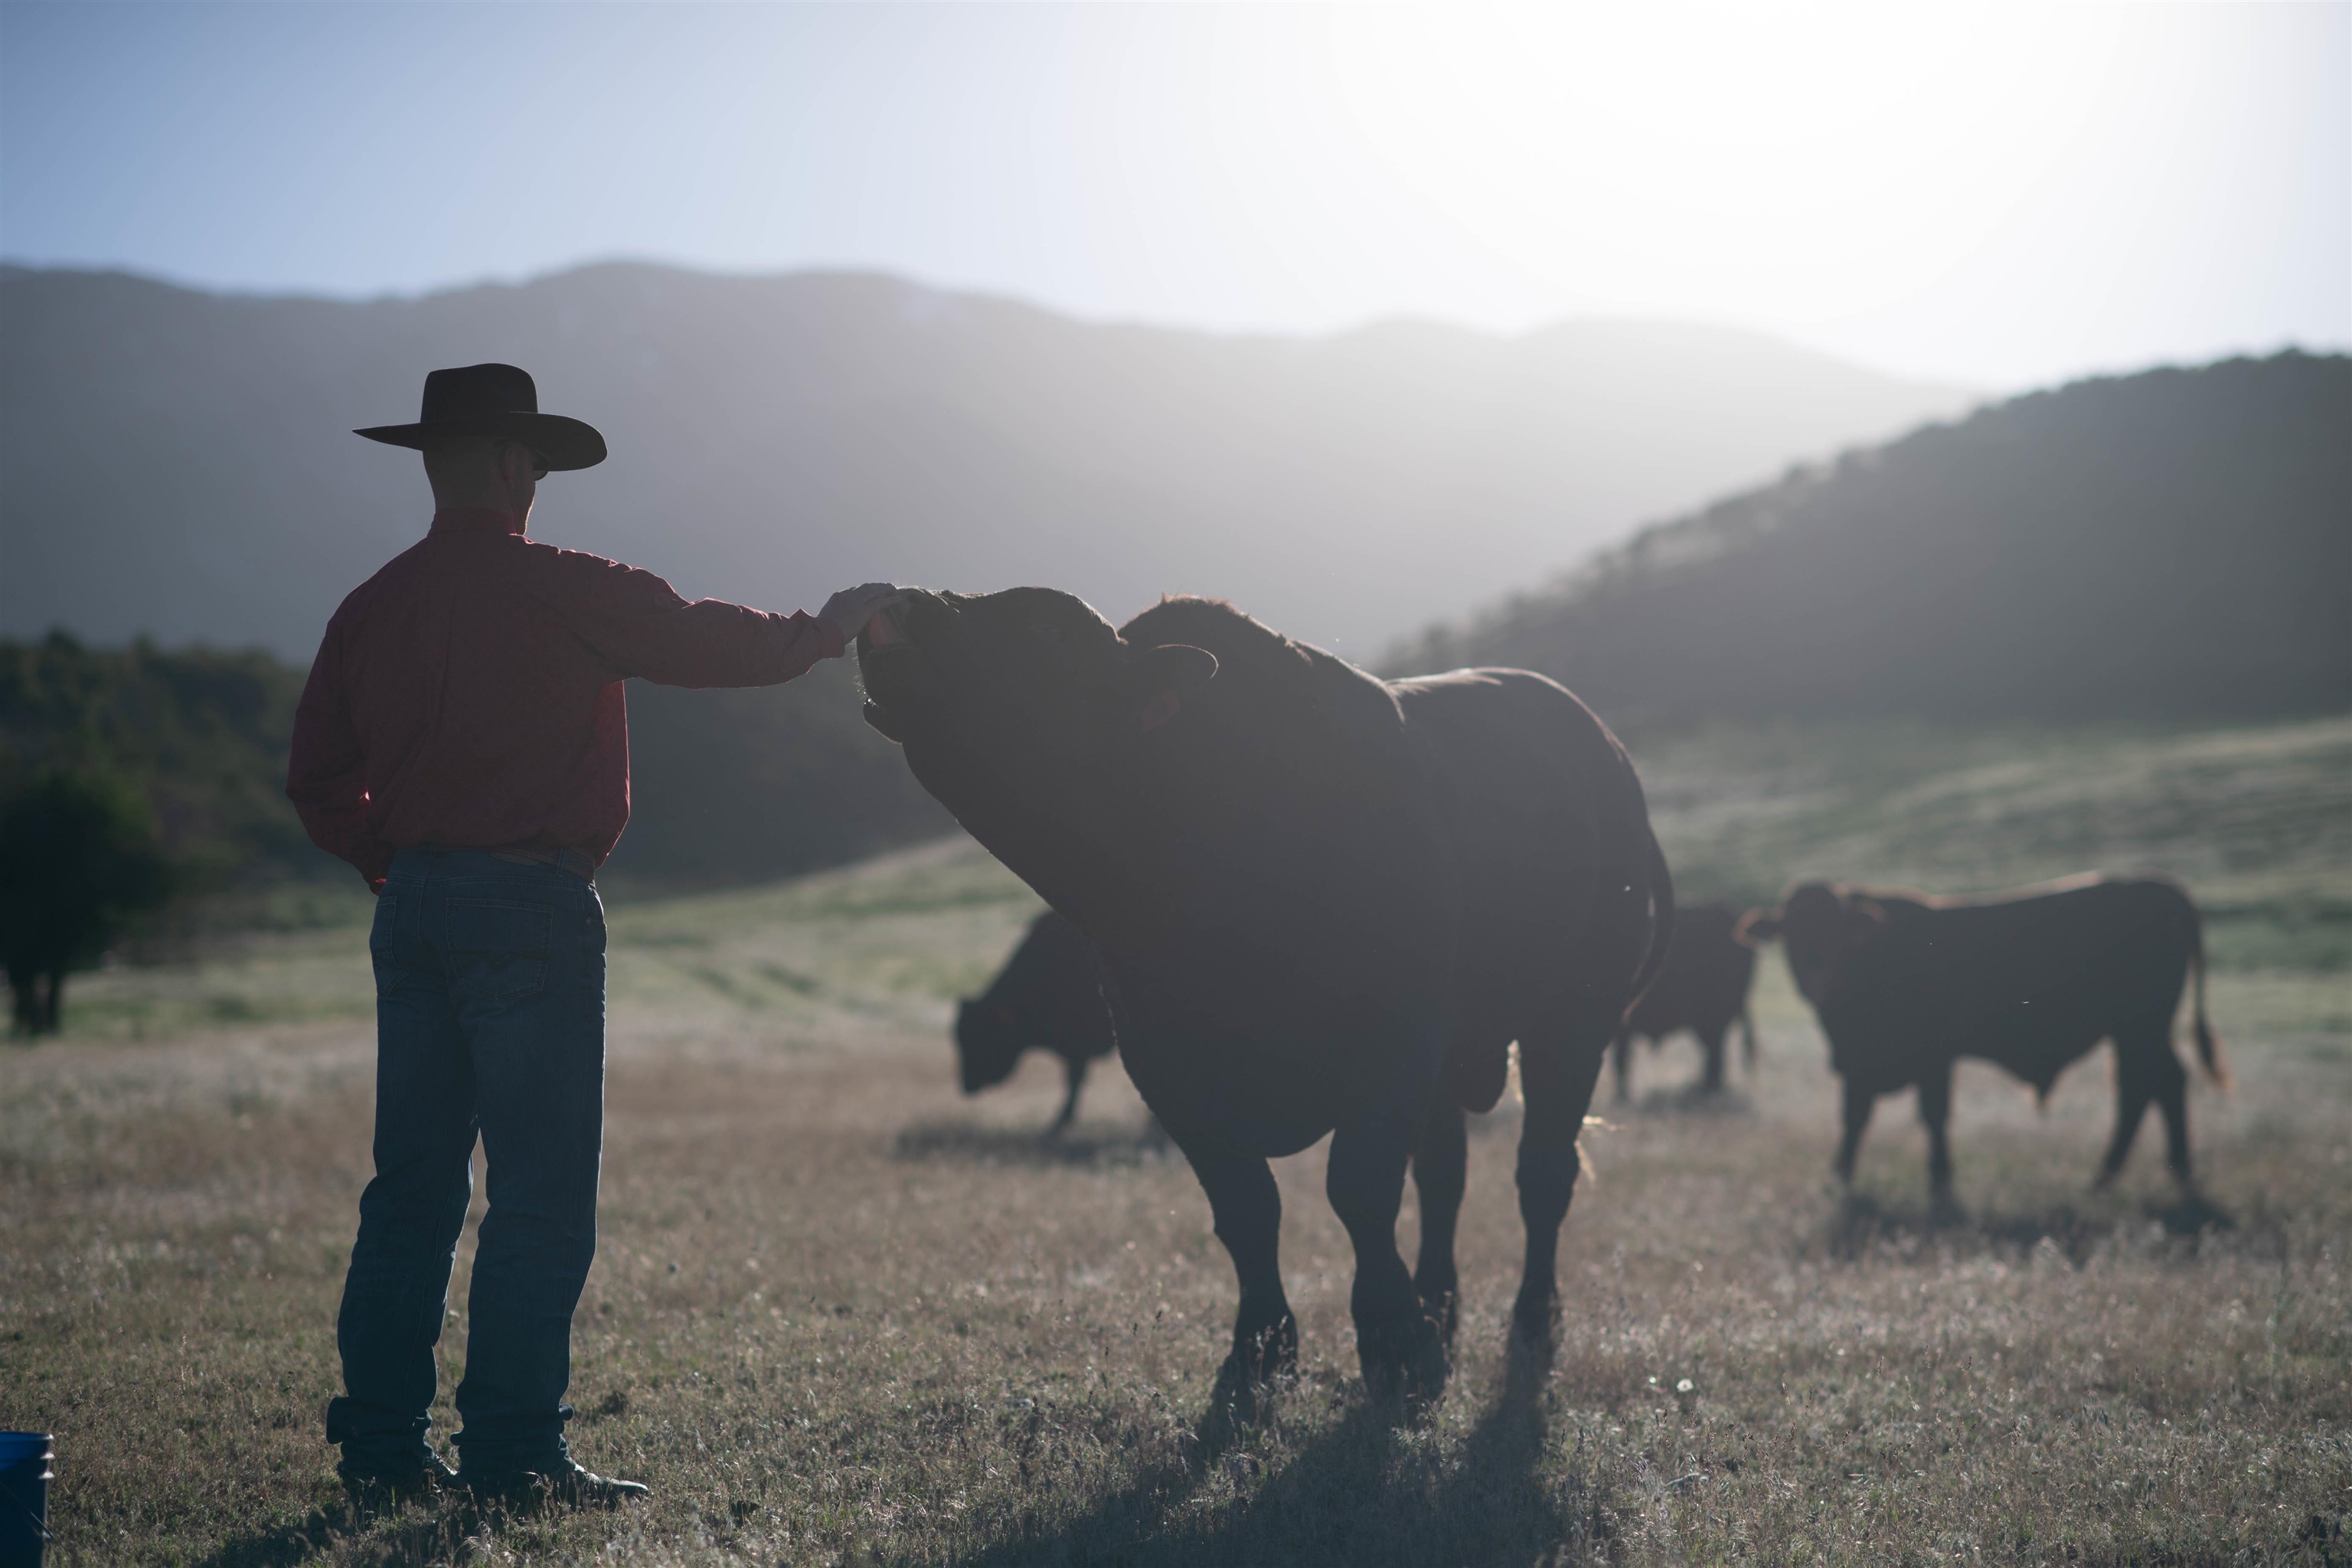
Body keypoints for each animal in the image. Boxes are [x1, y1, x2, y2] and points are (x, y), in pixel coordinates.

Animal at [1749, 870, 2220, 1204]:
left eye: (1837, 934)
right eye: (1790, 932)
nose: (1815, 970)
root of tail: (2162, 887)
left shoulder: (1933, 1060)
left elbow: (1933, 1117)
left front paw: (1940, 1184)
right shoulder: (1856, 1066)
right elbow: (1854, 1119)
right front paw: (1839, 1179)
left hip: (2141, 1030)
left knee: (2153, 1087)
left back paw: (2132, 1178)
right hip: (2136, 1035)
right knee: (2150, 1089)